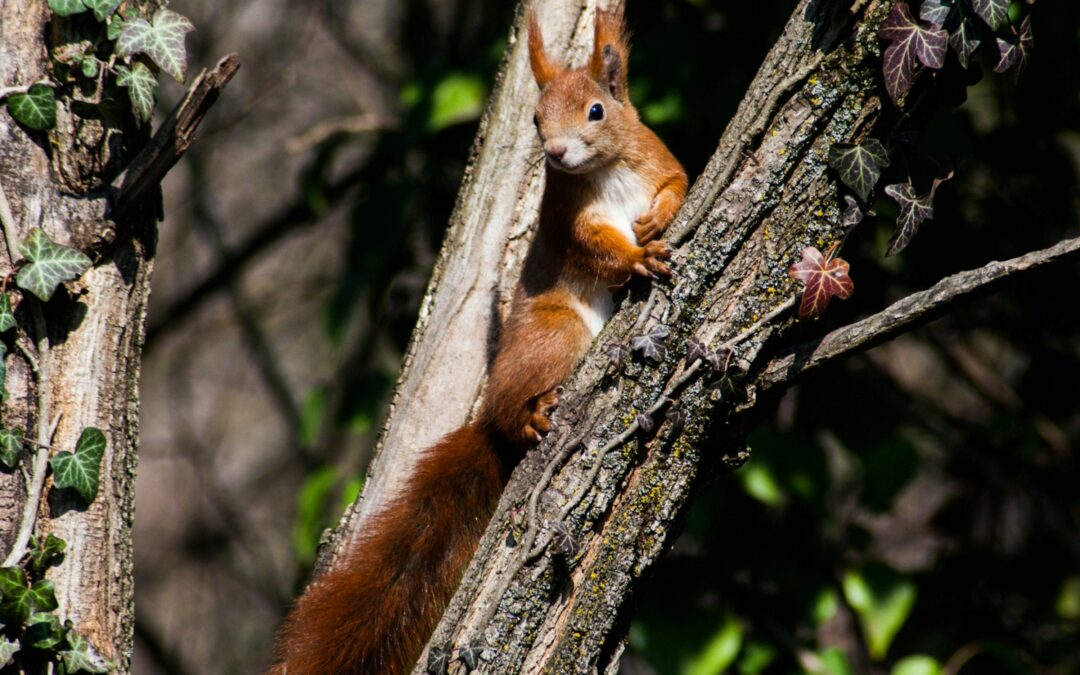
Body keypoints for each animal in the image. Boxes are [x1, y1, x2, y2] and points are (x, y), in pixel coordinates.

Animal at [269, 7, 687, 674]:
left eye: (597, 110)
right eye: (536, 118)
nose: (556, 152)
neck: (606, 171)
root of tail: (486, 422)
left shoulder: (658, 158)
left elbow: (679, 181)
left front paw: (657, 219)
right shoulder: (569, 219)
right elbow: (595, 249)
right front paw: (635, 255)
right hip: (556, 334)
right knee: (507, 407)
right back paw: (529, 415)